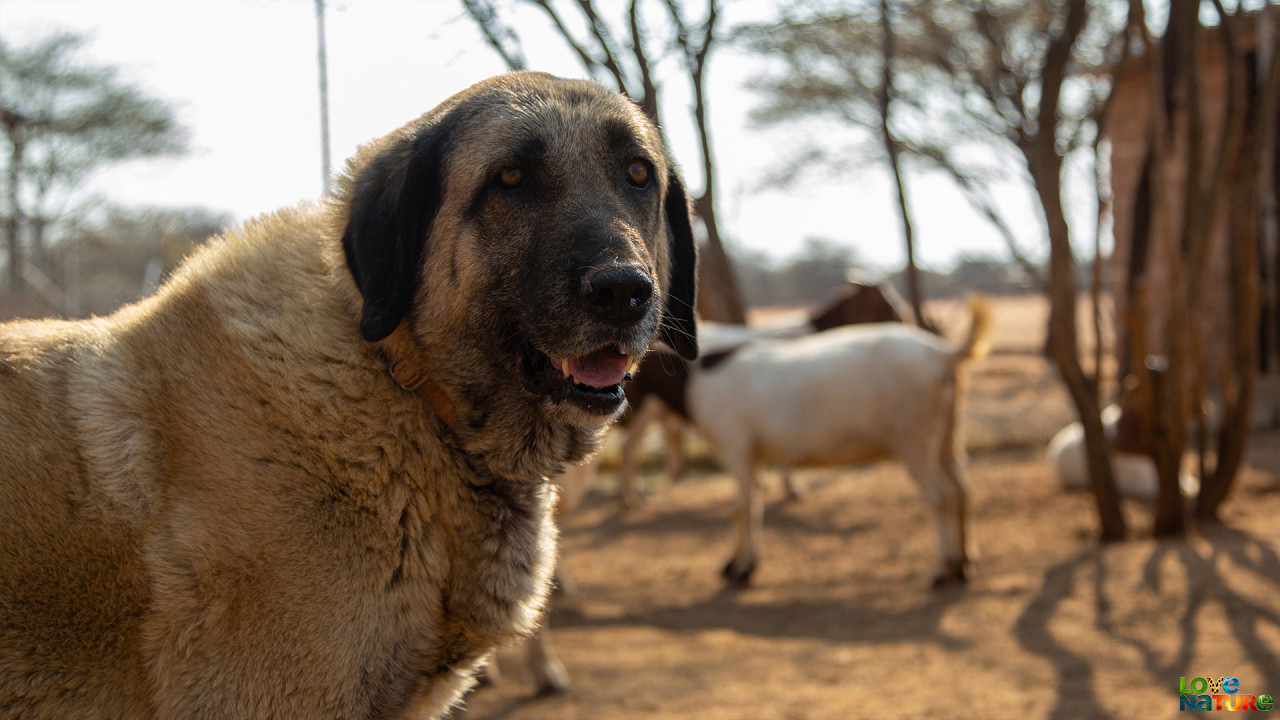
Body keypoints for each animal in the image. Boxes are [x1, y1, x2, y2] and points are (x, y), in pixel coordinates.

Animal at [691, 295, 988, 584]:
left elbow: (742, 506)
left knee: (941, 495)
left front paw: (740, 566)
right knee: (962, 491)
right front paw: (736, 562)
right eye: (883, 304)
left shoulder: (737, 447)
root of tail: (941, 355)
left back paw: (944, 568)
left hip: (914, 440)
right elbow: (745, 504)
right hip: (946, 435)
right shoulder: (751, 450)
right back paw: (963, 563)